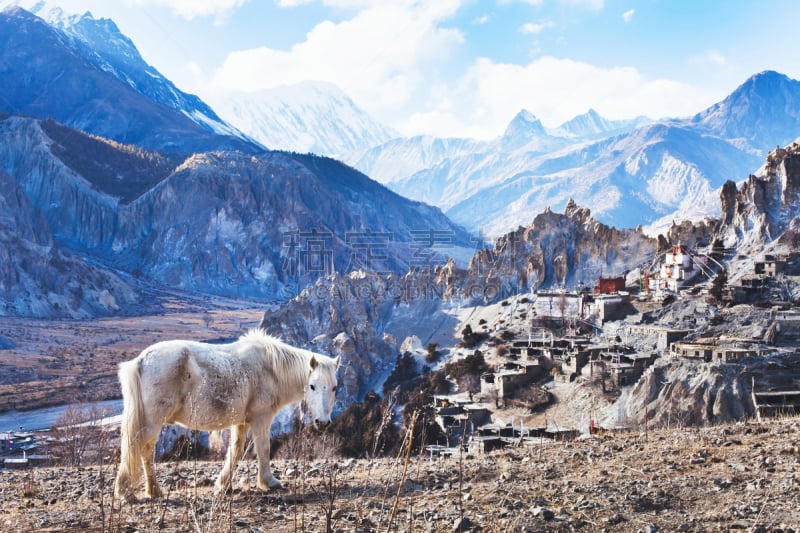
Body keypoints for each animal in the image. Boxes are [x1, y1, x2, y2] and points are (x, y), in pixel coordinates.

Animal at [112, 328, 338, 498]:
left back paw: (154, 491)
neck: (270, 369)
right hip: (152, 422)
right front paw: (269, 482)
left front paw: (224, 484)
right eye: (312, 386)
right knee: (138, 447)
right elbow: (263, 449)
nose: (323, 422)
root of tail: (141, 360)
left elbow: (236, 451)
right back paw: (126, 492)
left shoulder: (242, 422)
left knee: (145, 451)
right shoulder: (261, 418)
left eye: (334, 387)